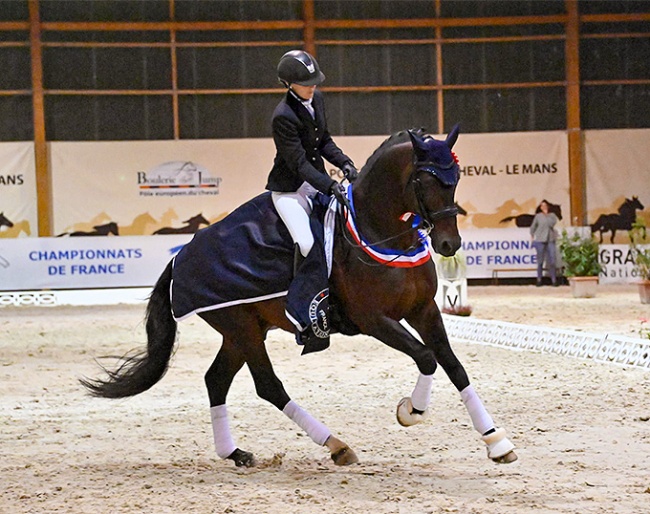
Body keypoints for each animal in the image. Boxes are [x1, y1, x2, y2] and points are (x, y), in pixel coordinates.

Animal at [79, 128, 516, 468]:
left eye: (454, 180)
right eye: (423, 182)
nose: (448, 244)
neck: (379, 231)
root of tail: (180, 257)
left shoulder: (424, 310)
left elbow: (454, 365)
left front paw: (496, 442)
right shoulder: (374, 320)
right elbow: (426, 357)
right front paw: (411, 411)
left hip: (241, 330)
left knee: (216, 380)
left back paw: (236, 453)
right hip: (242, 327)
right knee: (268, 386)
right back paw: (336, 446)